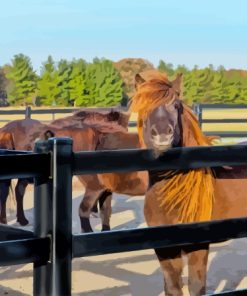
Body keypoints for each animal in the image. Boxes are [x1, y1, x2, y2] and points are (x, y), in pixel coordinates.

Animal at [130, 70, 247, 296]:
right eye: (143, 106)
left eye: (176, 105)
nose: (162, 134)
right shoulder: (164, 249)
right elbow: (172, 287)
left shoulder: (198, 246)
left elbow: (196, 286)